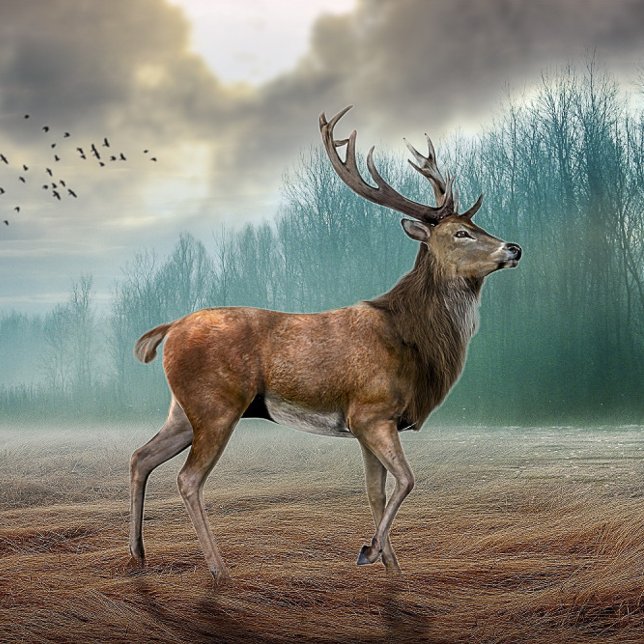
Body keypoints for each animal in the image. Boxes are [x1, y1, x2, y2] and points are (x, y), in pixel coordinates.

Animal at [128, 106, 522, 581]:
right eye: (461, 233)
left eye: (476, 223)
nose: (514, 248)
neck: (413, 342)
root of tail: (169, 329)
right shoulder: (371, 411)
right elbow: (407, 480)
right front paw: (370, 551)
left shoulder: (368, 424)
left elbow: (376, 491)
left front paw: (390, 566)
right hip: (216, 405)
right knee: (187, 479)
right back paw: (220, 570)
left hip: (183, 410)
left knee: (140, 456)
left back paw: (138, 555)